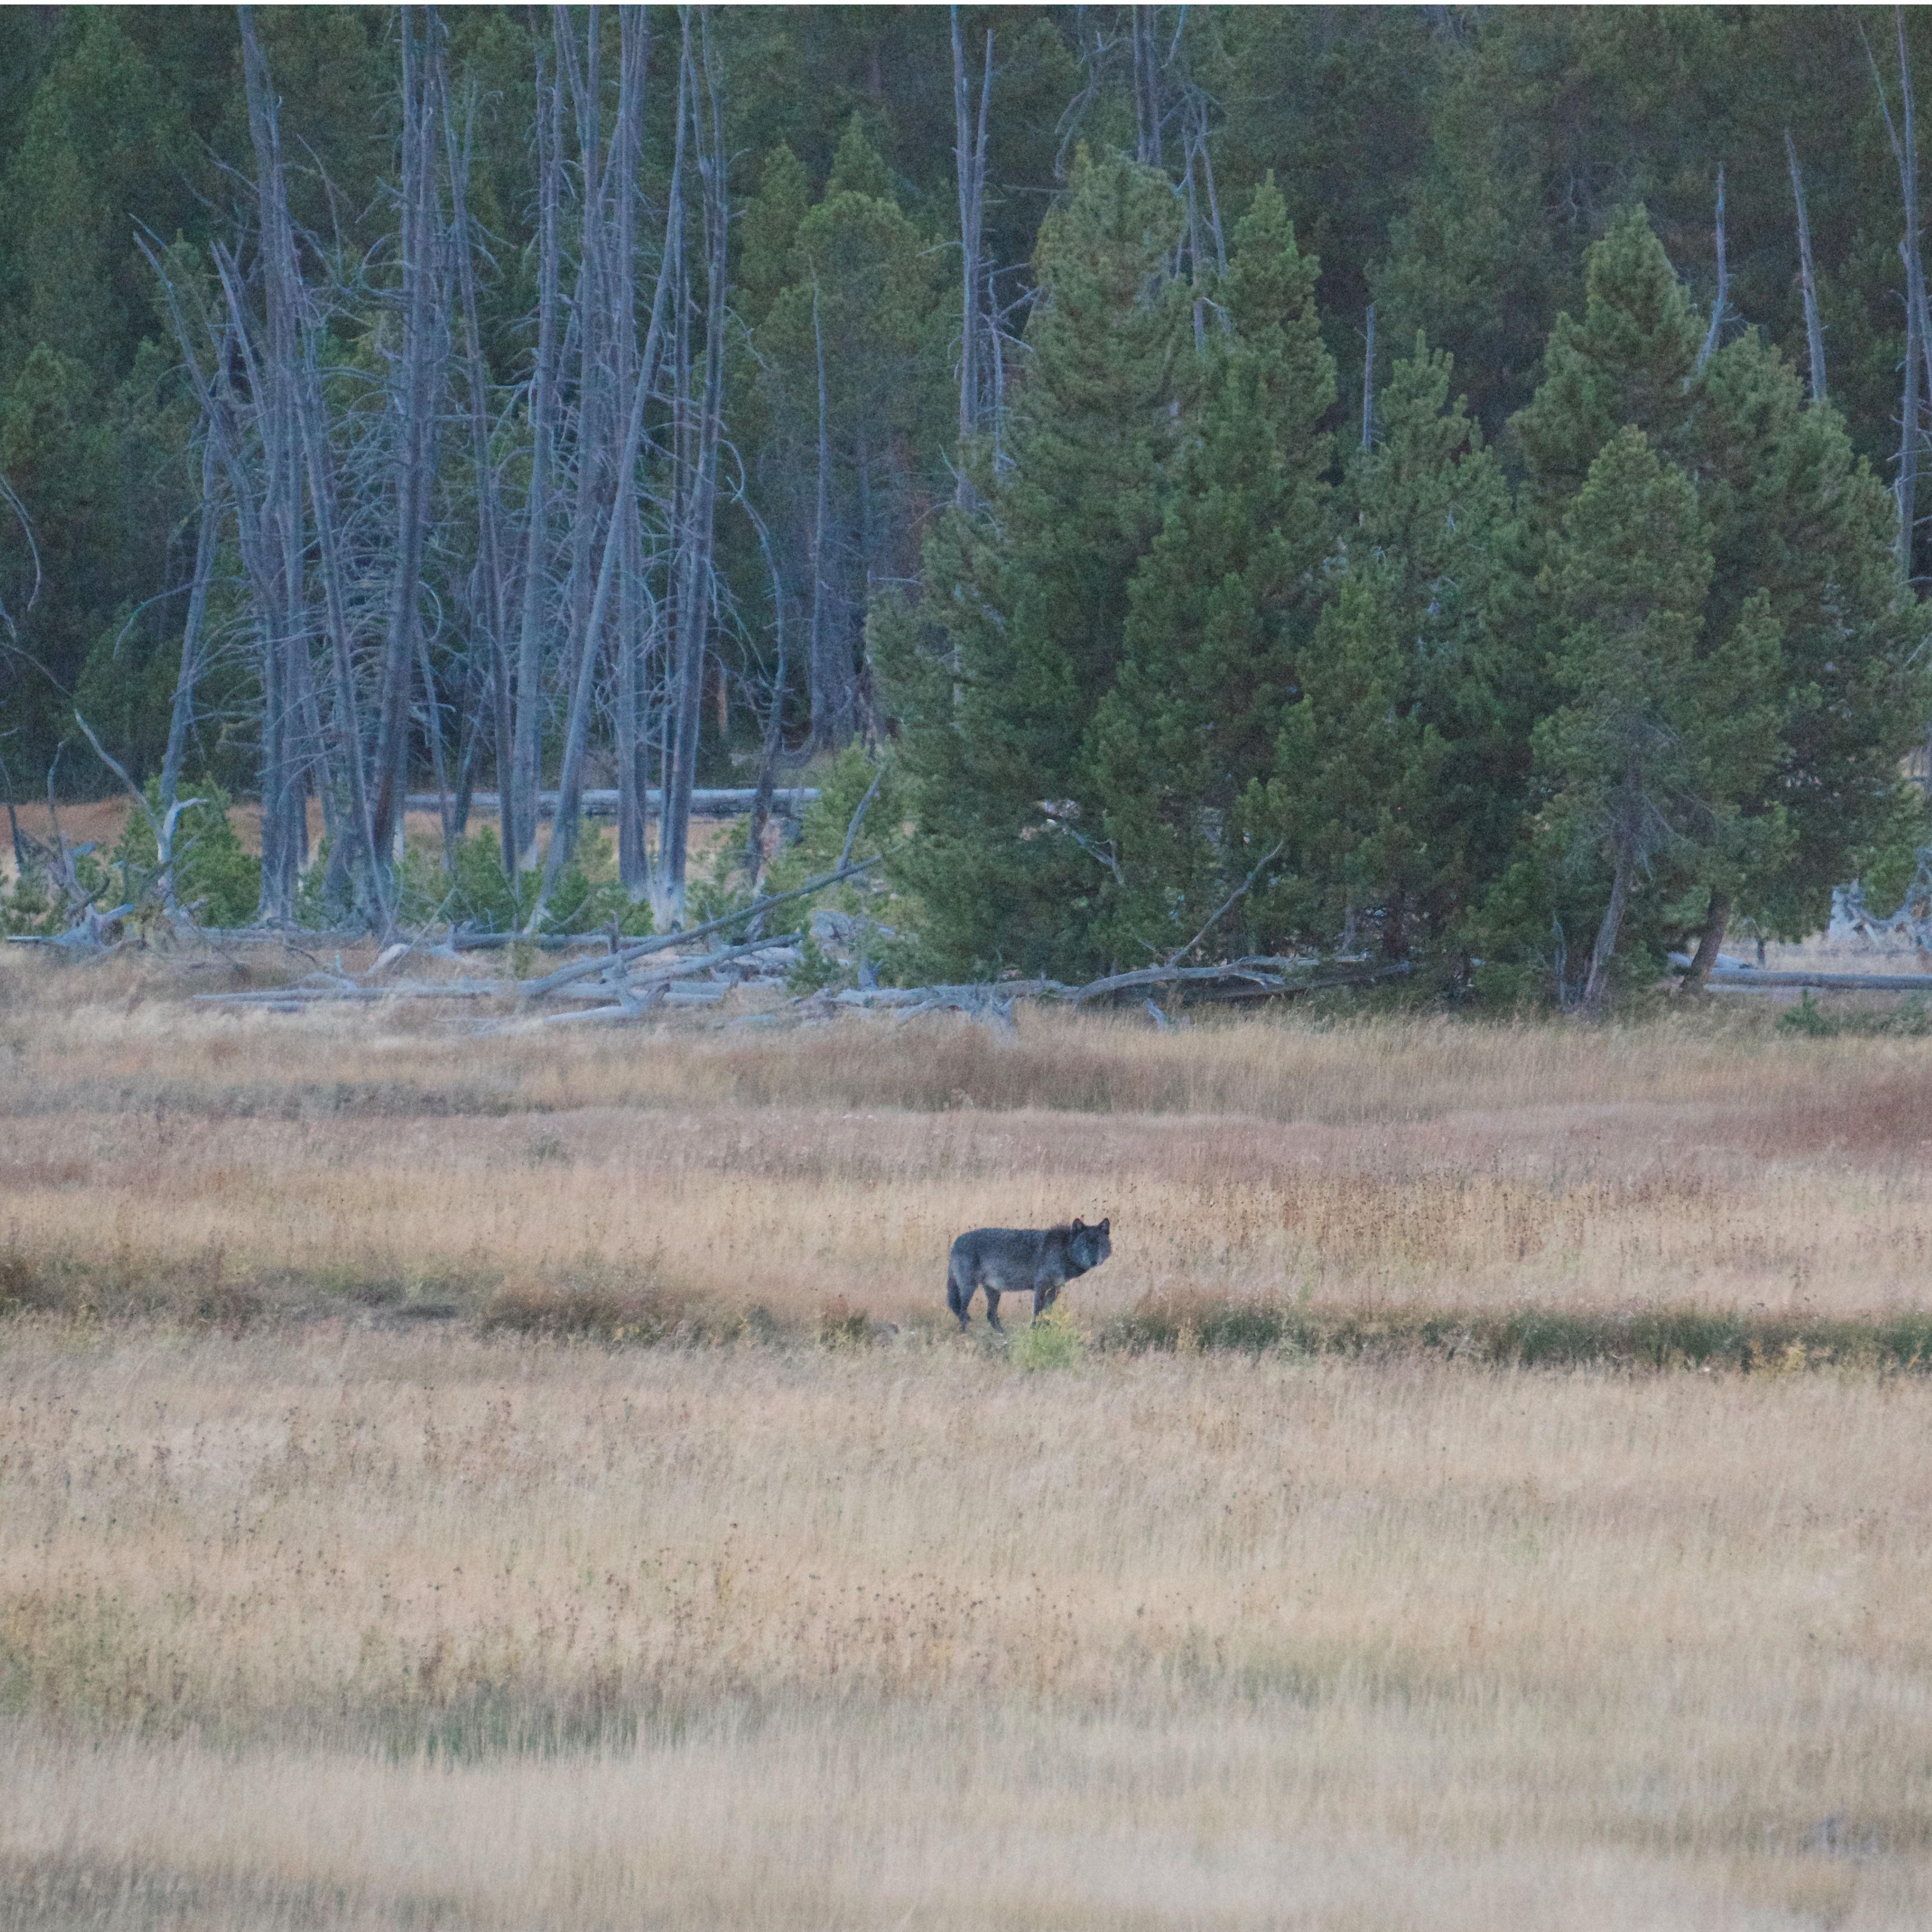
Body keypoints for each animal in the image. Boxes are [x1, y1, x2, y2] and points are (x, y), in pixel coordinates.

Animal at [945, 1218, 1112, 1331]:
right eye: (1085, 1245)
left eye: (1099, 1244)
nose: (1094, 1261)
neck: (1064, 1251)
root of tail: (956, 1242)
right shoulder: (1041, 1287)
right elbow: (1037, 1312)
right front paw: (1034, 1331)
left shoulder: (1054, 1290)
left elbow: (1047, 1314)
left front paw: (1046, 1331)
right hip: (969, 1288)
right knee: (962, 1312)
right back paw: (967, 1334)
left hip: (994, 1292)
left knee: (990, 1315)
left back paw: (1004, 1335)